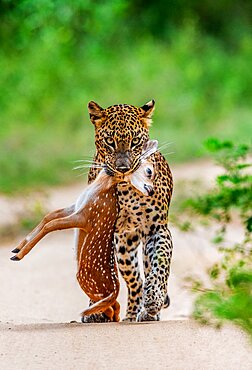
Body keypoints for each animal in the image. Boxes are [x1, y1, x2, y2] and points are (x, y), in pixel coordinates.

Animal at [84, 99, 173, 322]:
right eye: (109, 141)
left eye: (135, 141)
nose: (123, 169)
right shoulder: (103, 233)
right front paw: (97, 309)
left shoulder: (157, 229)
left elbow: (160, 264)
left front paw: (154, 298)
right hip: (123, 245)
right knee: (134, 280)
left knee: (145, 272)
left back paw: (147, 311)